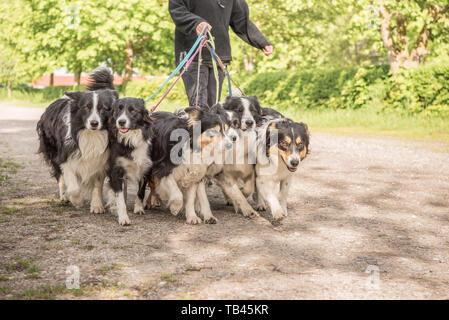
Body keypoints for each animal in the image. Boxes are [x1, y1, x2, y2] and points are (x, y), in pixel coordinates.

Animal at [37, 68, 117, 212]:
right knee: (59, 175)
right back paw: (64, 196)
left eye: (103, 109)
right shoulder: (66, 156)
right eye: (86, 107)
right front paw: (77, 201)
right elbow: (73, 186)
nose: (94, 123)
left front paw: (96, 205)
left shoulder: (101, 160)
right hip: (52, 150)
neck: (90, 134)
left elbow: (97, 185)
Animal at [106, 97, 153, 225]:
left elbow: (141, 192)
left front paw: (139, 208)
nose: (121, 122)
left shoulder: (145, 169)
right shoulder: (116, 171)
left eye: (133, 111)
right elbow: (120, 197)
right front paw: (123, 217)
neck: (130, 140)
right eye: (118, 109)